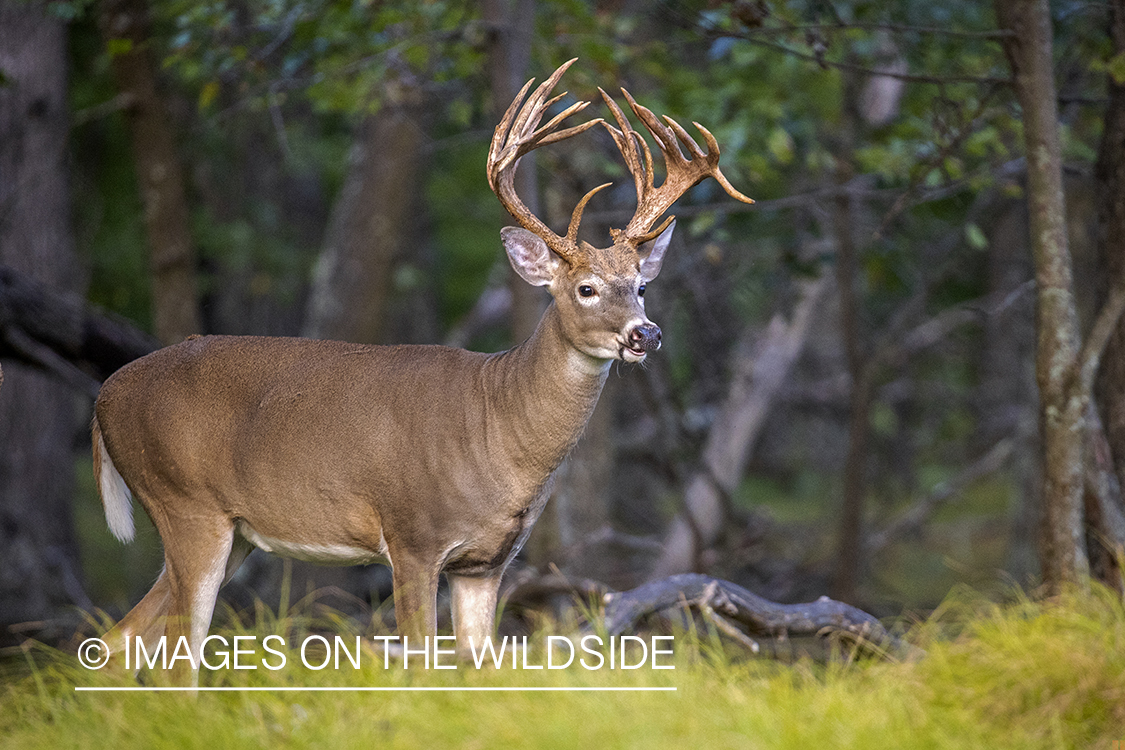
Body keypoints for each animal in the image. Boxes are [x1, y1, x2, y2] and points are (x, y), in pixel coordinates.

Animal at [90, 55, 756, 670]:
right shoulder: (411, 535)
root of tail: (103, 397)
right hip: (186, 503)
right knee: (174, 659)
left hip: (234, 535)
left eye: (641, 286)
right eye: (586, 288)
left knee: (120, 639)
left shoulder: (487, 563)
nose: (647, 334)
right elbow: (421, 663)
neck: (498, 429)